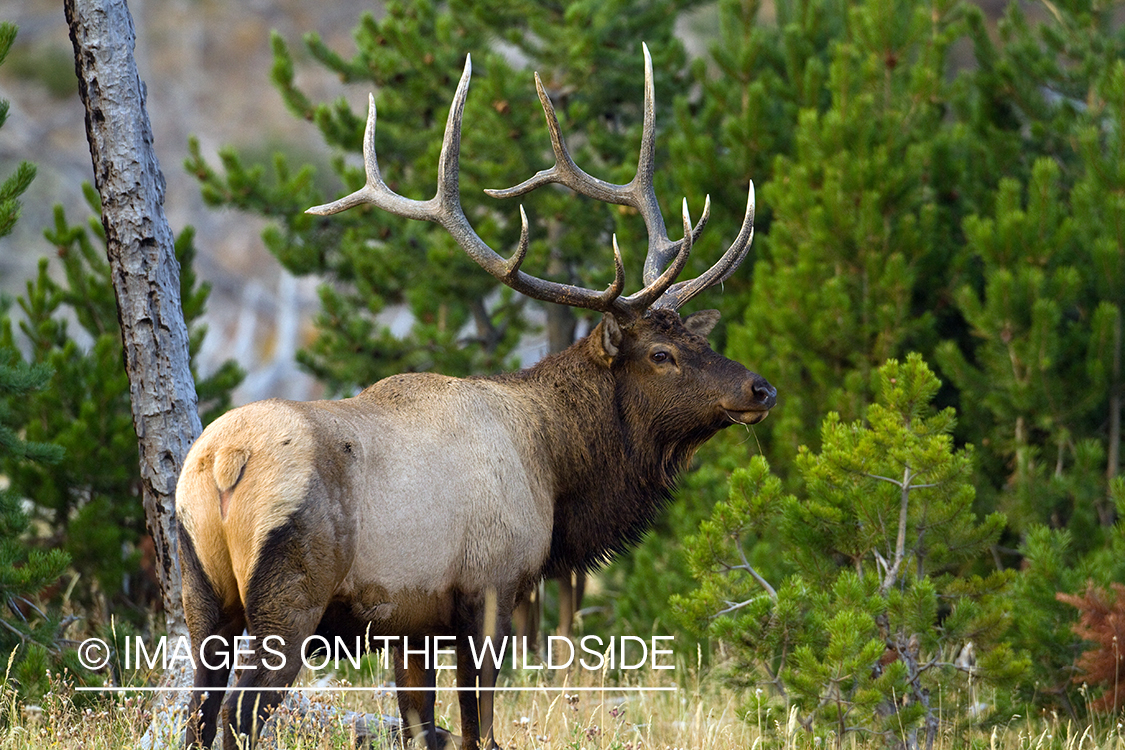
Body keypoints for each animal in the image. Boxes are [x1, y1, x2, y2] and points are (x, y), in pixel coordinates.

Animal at [177, 45, 774, 750]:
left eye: (693, 337)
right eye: (661, 355)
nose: (760, 388)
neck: (555, 467)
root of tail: (225, 463)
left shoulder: (409, 625)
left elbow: (422, 725)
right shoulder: (491, 587)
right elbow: (478, 728)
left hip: (200, 592)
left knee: (197, 713)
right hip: (288, 598)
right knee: (240, 716)